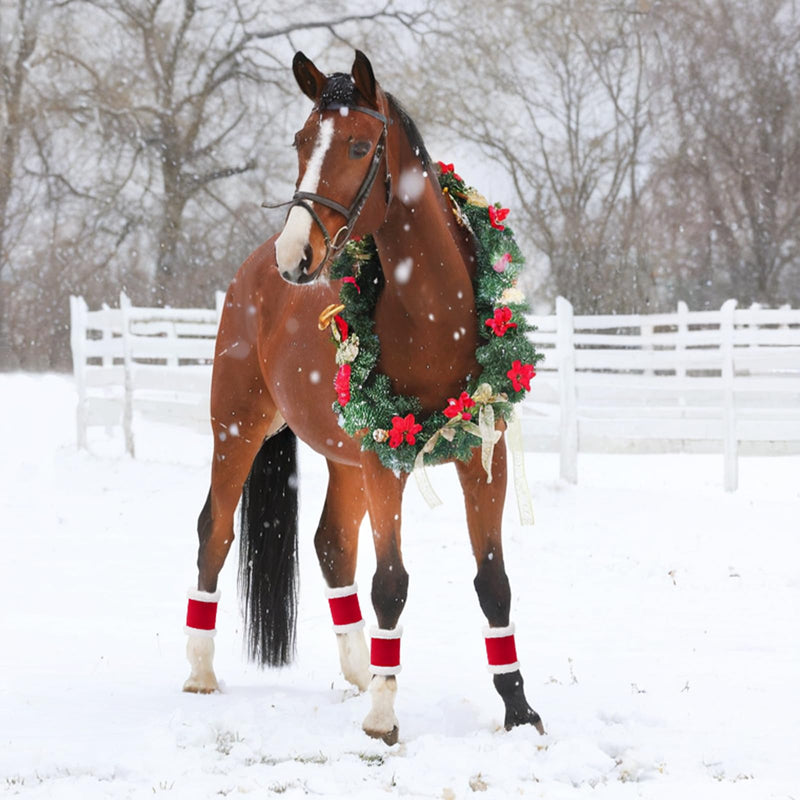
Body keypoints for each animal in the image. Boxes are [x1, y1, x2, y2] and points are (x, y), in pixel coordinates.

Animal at [182, 50, 544, 744]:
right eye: (301, 142)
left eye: (356, 145)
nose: (296, 254)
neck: (432, 313)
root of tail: (253, 270)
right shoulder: (386, 461)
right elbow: (392, 583)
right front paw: (382, 717)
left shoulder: (482, 457)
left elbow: (495, 582)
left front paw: (518, 709)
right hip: (236, 428)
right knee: (214, 529)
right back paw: (202, 671)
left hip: (343, 455)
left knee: (331, 545)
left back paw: (360, 670)